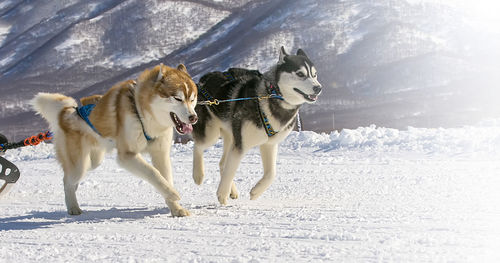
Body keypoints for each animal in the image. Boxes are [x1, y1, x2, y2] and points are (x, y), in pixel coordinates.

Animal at [29, 64, 199, 217]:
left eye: (192, 99)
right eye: (177, 98)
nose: (194, 117)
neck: (143, 114)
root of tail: (67, 112)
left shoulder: (160, 153)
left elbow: (165, 177)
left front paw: (176, 208)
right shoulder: (127, 155)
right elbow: (153, 173)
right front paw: (173, 193)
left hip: (93, 161)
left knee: (72, 180)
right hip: (79, 165)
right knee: (67, 181)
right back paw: (73, 207)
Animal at [193, 46, 322, 205]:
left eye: (315, 75)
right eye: (300, 74)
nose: (318, 88)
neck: (272, 95)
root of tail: (203, 79)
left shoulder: (269, 144)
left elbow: (271, 173)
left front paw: (255, 192)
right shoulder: (241, 145)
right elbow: (231, 169)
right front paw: (222, 194)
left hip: (231, 135)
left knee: (223, 163)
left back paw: (232, 190)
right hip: (211, 134)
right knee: (198, 147)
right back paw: (198, 175)